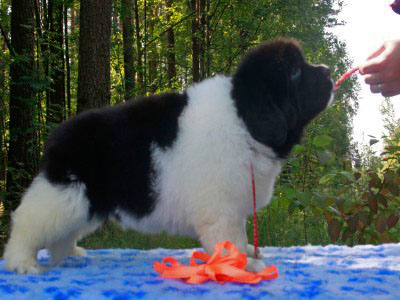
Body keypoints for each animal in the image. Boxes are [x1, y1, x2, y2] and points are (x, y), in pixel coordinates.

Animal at [3, 38, 334, 274]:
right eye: (294, 72)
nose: (329, 71)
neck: (244, 118)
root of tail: (59, 134)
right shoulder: (221, 209)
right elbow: (228, 239)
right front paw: (243, 264)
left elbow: (238, 236)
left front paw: (247, 254)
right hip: (66, 195)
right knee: (28, 223)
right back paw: (22, 263)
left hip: (87, 203)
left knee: (63, 232)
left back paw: (71, 253)